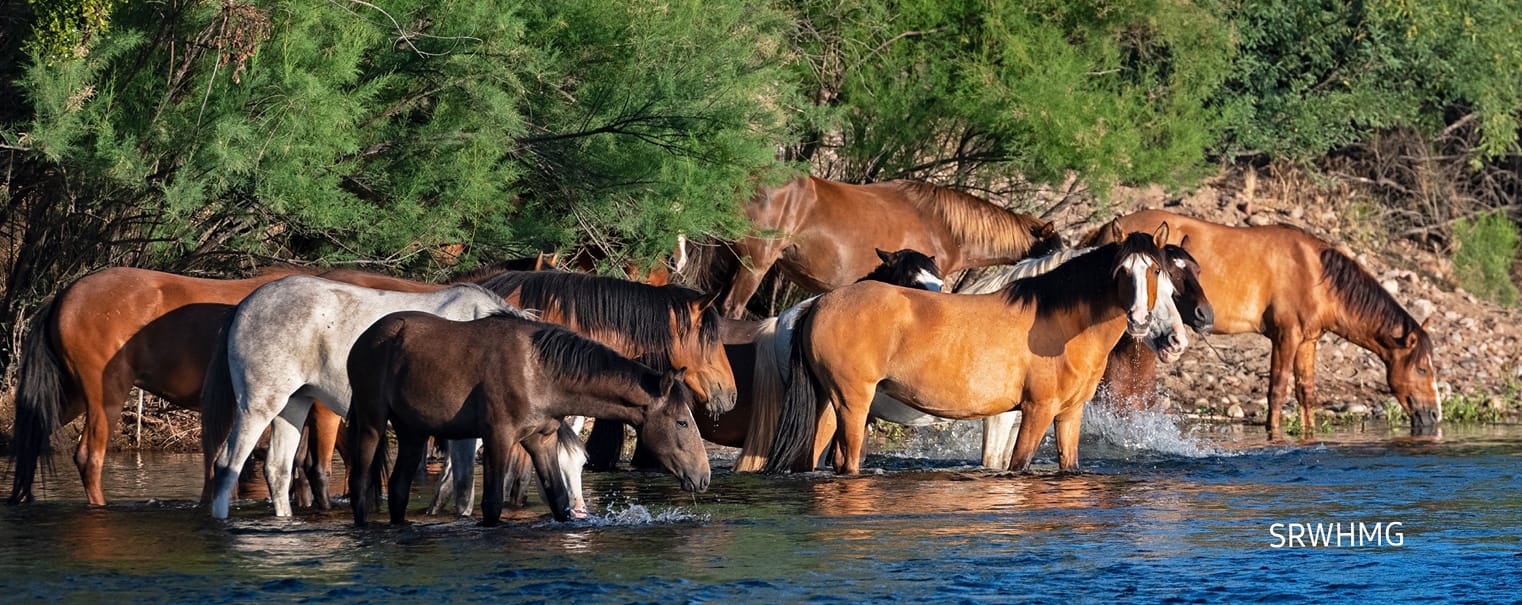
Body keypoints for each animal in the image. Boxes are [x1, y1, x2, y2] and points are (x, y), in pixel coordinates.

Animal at [4, 265, 442, 506]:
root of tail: (64, 295)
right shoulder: (320, 408)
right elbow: (314, 466)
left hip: (74, 396)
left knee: (31, 437)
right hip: (104, 397)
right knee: (88, 458)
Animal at [200, 276, 527, 519]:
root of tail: (246, 304)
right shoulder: (464, 437)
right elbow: (463, 489)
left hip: (293, 404)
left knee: (277, 470)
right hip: (258, 405)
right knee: (227, 466)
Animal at [346, 311, 710, 526]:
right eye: (682, 422)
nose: (703, 476)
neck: (541, 372)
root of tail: (364, 338)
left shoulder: (542, 440)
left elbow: (560, 500)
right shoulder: (498, 438)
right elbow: (492, 503)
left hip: (413, 432)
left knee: (398, 489)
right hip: (372, 422)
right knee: (360, 485)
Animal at [763, 227, 1172, 475]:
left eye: (1157, 271)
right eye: (1121, 270)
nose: (1140, 319)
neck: (1058, 325)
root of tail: (820, 303)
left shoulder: (1068, 415)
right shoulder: (1034, 411)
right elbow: (1017, 465)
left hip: (828, 406)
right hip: (851, 404)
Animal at [1085, 209, 1441, 435]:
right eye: (1423, 369)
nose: (1434, 415)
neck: (1315, 273)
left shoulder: (1308, 341)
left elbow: (1306, 392)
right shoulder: (1286, 336)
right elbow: (1277, 390)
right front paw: (1274, 433)